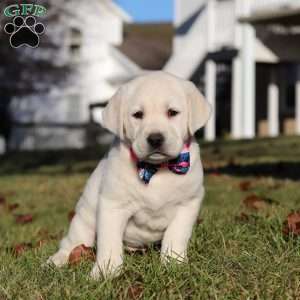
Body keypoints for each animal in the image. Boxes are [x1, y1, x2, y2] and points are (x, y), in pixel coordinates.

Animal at [47, 71, 211, 278]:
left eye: (172, 112)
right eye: (138, 115)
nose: (155, 138)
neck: (155, 169)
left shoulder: (188, 203)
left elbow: (176, 235)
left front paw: (174, 263)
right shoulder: (113, 205)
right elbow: (109, 242)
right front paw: (106, 270)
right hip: (84, 218)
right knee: (72, 241)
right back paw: (57, 260)